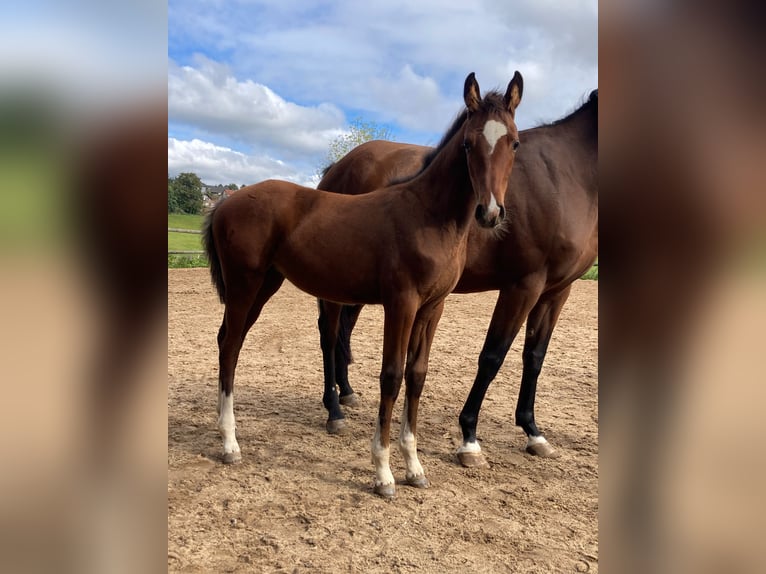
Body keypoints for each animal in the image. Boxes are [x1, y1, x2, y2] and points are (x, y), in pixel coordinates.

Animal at [203, 72, 524, 498]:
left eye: (514, 142)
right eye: (469, 143)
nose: (490, 213)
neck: (428, 216)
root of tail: (226, 201)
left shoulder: (433, 307)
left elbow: (416, 375)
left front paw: (414, 468)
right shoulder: (400, 303)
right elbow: (391, 375)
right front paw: (383, 473)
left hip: (265, 284)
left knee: (230, 340)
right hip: (244, 284)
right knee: (230, 345)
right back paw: (229, 443)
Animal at [317, 89, 597, 467]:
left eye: (515, 144)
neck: (568, 172)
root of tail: (338, 167)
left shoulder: (557, 290)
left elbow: (535, 356)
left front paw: (533, 432)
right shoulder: (523, 285)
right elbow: (492, 356)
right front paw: (469, 438)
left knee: (343, 330)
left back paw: (345, 393)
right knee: (329, 334)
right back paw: (333, 409)